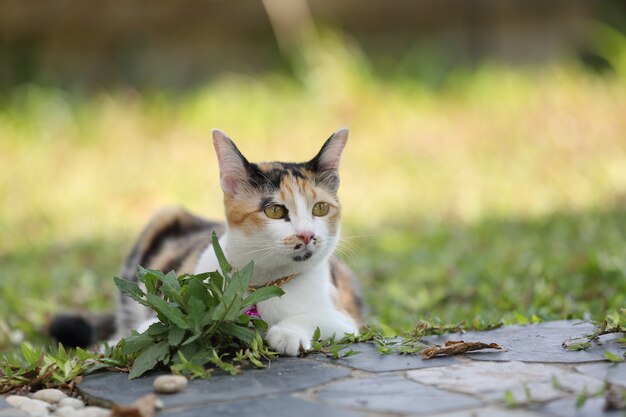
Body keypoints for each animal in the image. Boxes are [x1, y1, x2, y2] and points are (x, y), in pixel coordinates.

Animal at [51, 129, 364, 354]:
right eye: (275, 211)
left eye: (320, 208)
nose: (307, 235)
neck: (262, 281)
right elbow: (157, 322)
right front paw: (135, 334)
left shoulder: (347, 319)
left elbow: (318, 317)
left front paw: (287, 333)